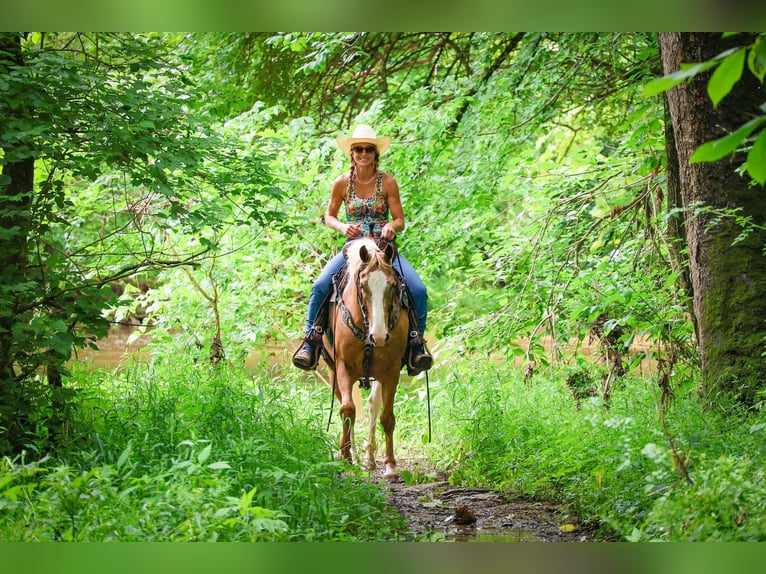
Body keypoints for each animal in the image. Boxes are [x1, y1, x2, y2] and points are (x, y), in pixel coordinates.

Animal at [323, 237, 409, 479]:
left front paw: (390, 465)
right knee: (346, 404)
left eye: (393, 285)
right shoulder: (343, 366)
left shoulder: (391, 371)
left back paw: (369, 457)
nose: (379, 336)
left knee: (372, 404)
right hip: (333, 370)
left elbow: (386, 416)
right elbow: (347, 409)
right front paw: (345, 455)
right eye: (362, 285)